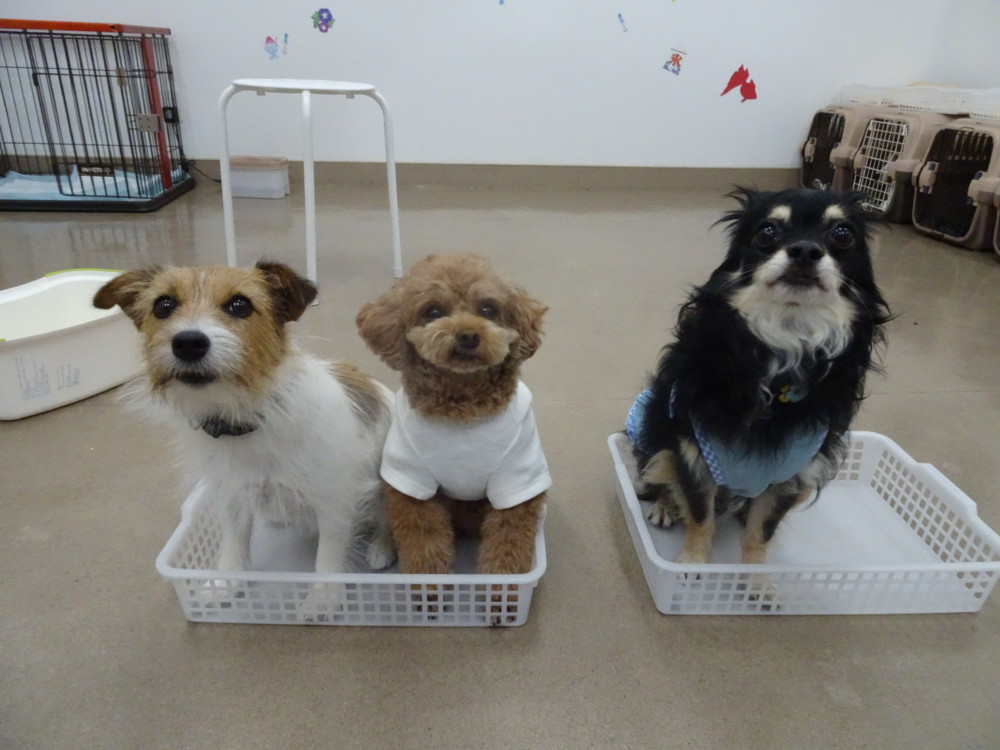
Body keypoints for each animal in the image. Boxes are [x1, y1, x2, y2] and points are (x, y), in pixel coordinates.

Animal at [93, 261, 395, 580]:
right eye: (163, 305)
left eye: (240, 305)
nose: (188, 342)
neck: (245, 420)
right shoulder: (233, 497)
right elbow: (233, 551)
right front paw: (223, 582)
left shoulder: (335, 506)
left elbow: (326, 568)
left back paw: (381, 547)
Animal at [356, 253, 550, 575]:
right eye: (433, 311)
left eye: (488, 309)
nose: (468, 335)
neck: (462, 405)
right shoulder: (412, 483)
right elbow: (423, 545)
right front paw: (428, 585)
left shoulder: (515, 481)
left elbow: (507, 544)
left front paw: (500, 585)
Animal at [627, 188, 890, 567]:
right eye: (767, 232)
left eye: (842, 234)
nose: (805, 250)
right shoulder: (693, 452)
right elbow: (699, 515)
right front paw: (691, 563)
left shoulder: (793, 475)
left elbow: (761, 532)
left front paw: (755, 576)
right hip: (657, 427)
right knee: (660, 471)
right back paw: (664, 506)